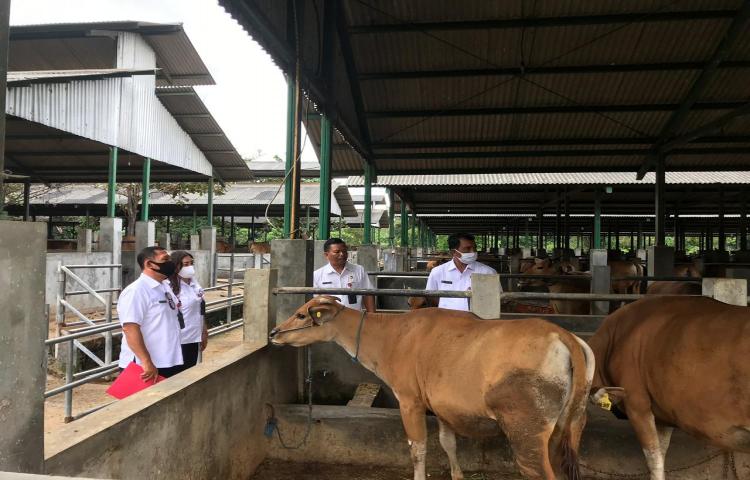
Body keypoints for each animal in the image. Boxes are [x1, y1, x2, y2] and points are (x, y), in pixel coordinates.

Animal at [274, 296, 596, 480]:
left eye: (302, 314)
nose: (275, 332)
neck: (392, 336)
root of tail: (564, 336)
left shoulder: (409, 401)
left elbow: (418, 448)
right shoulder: (443, 409)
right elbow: (447, 443)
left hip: (526, 431)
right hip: (569, 428)